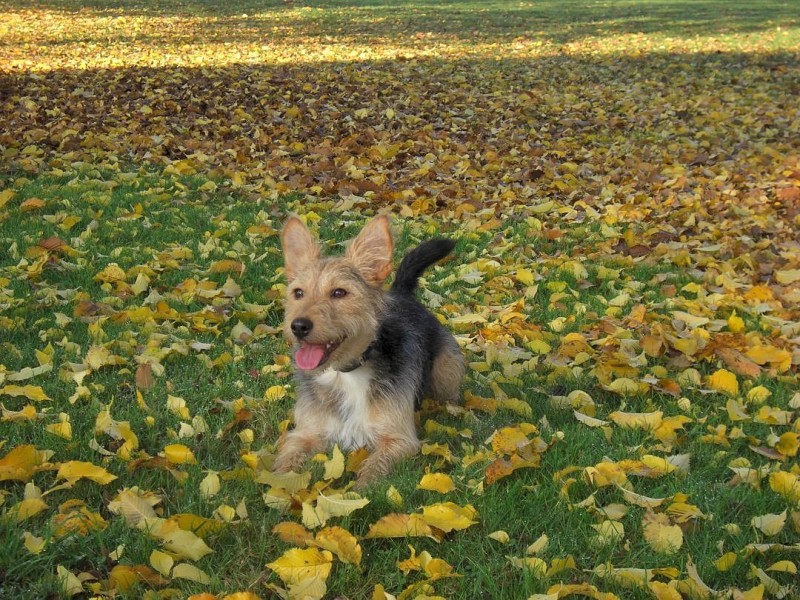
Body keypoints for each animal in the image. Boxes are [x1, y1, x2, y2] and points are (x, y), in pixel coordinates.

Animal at [274, 216, 466, 488]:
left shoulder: (398, 439)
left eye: (339, 292)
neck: (345, 373)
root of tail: (402, 294)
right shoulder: (304, 434)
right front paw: (277, 489)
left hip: (446, 373)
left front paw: (357, 492)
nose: (298, 326)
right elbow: (284, 468)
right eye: (298, 293)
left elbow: (372, 474)